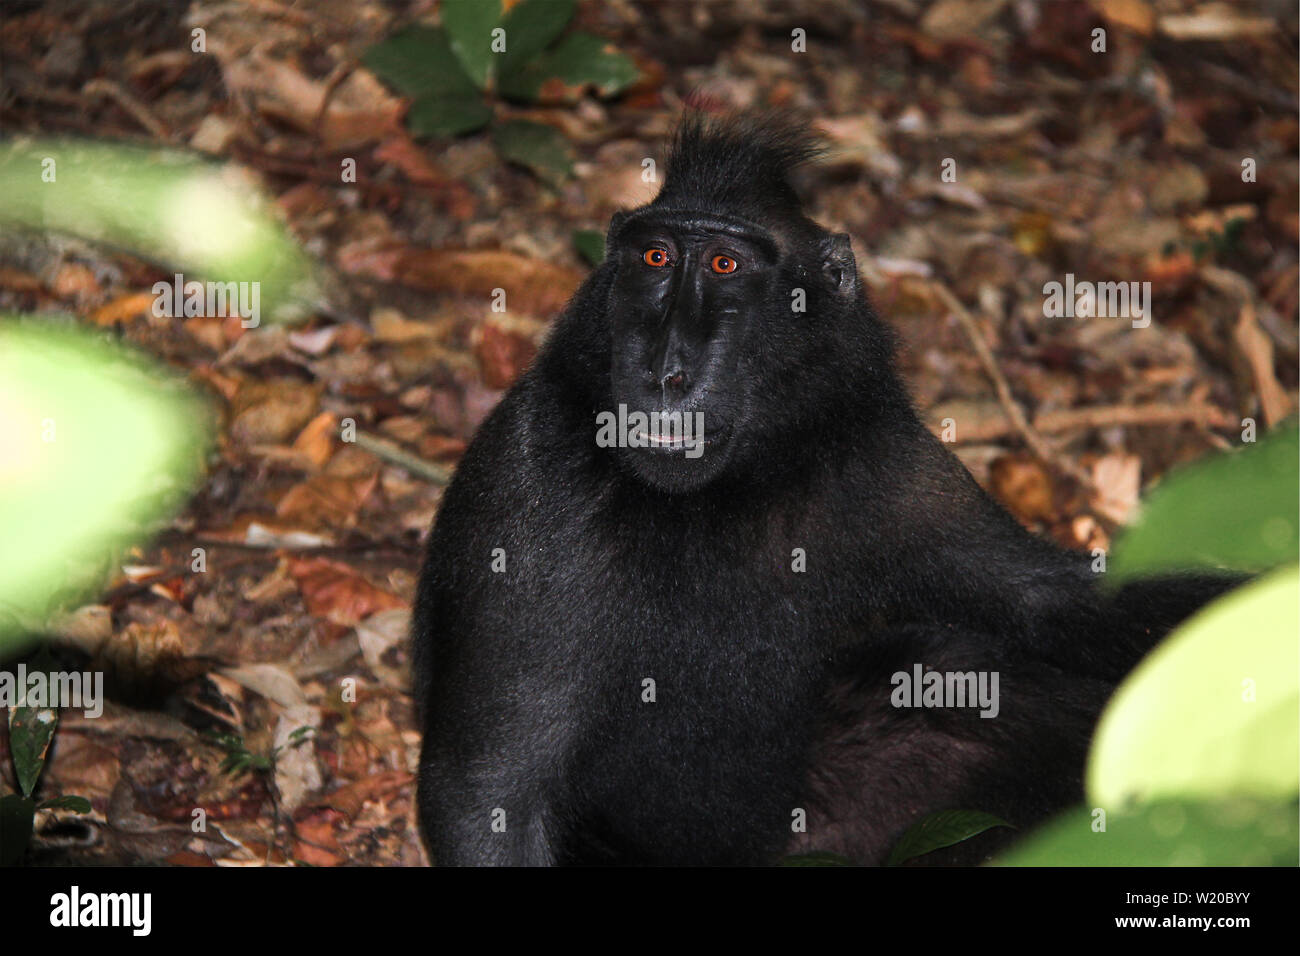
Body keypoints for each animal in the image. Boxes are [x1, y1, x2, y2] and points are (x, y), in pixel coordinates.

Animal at [411, 113, 1240, 866]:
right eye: (654, 256)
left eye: (725, 265)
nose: (666, 369)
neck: (729, 496)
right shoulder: (539, 494)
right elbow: (493, 791)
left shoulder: (885, 459)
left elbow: (1054, 599)